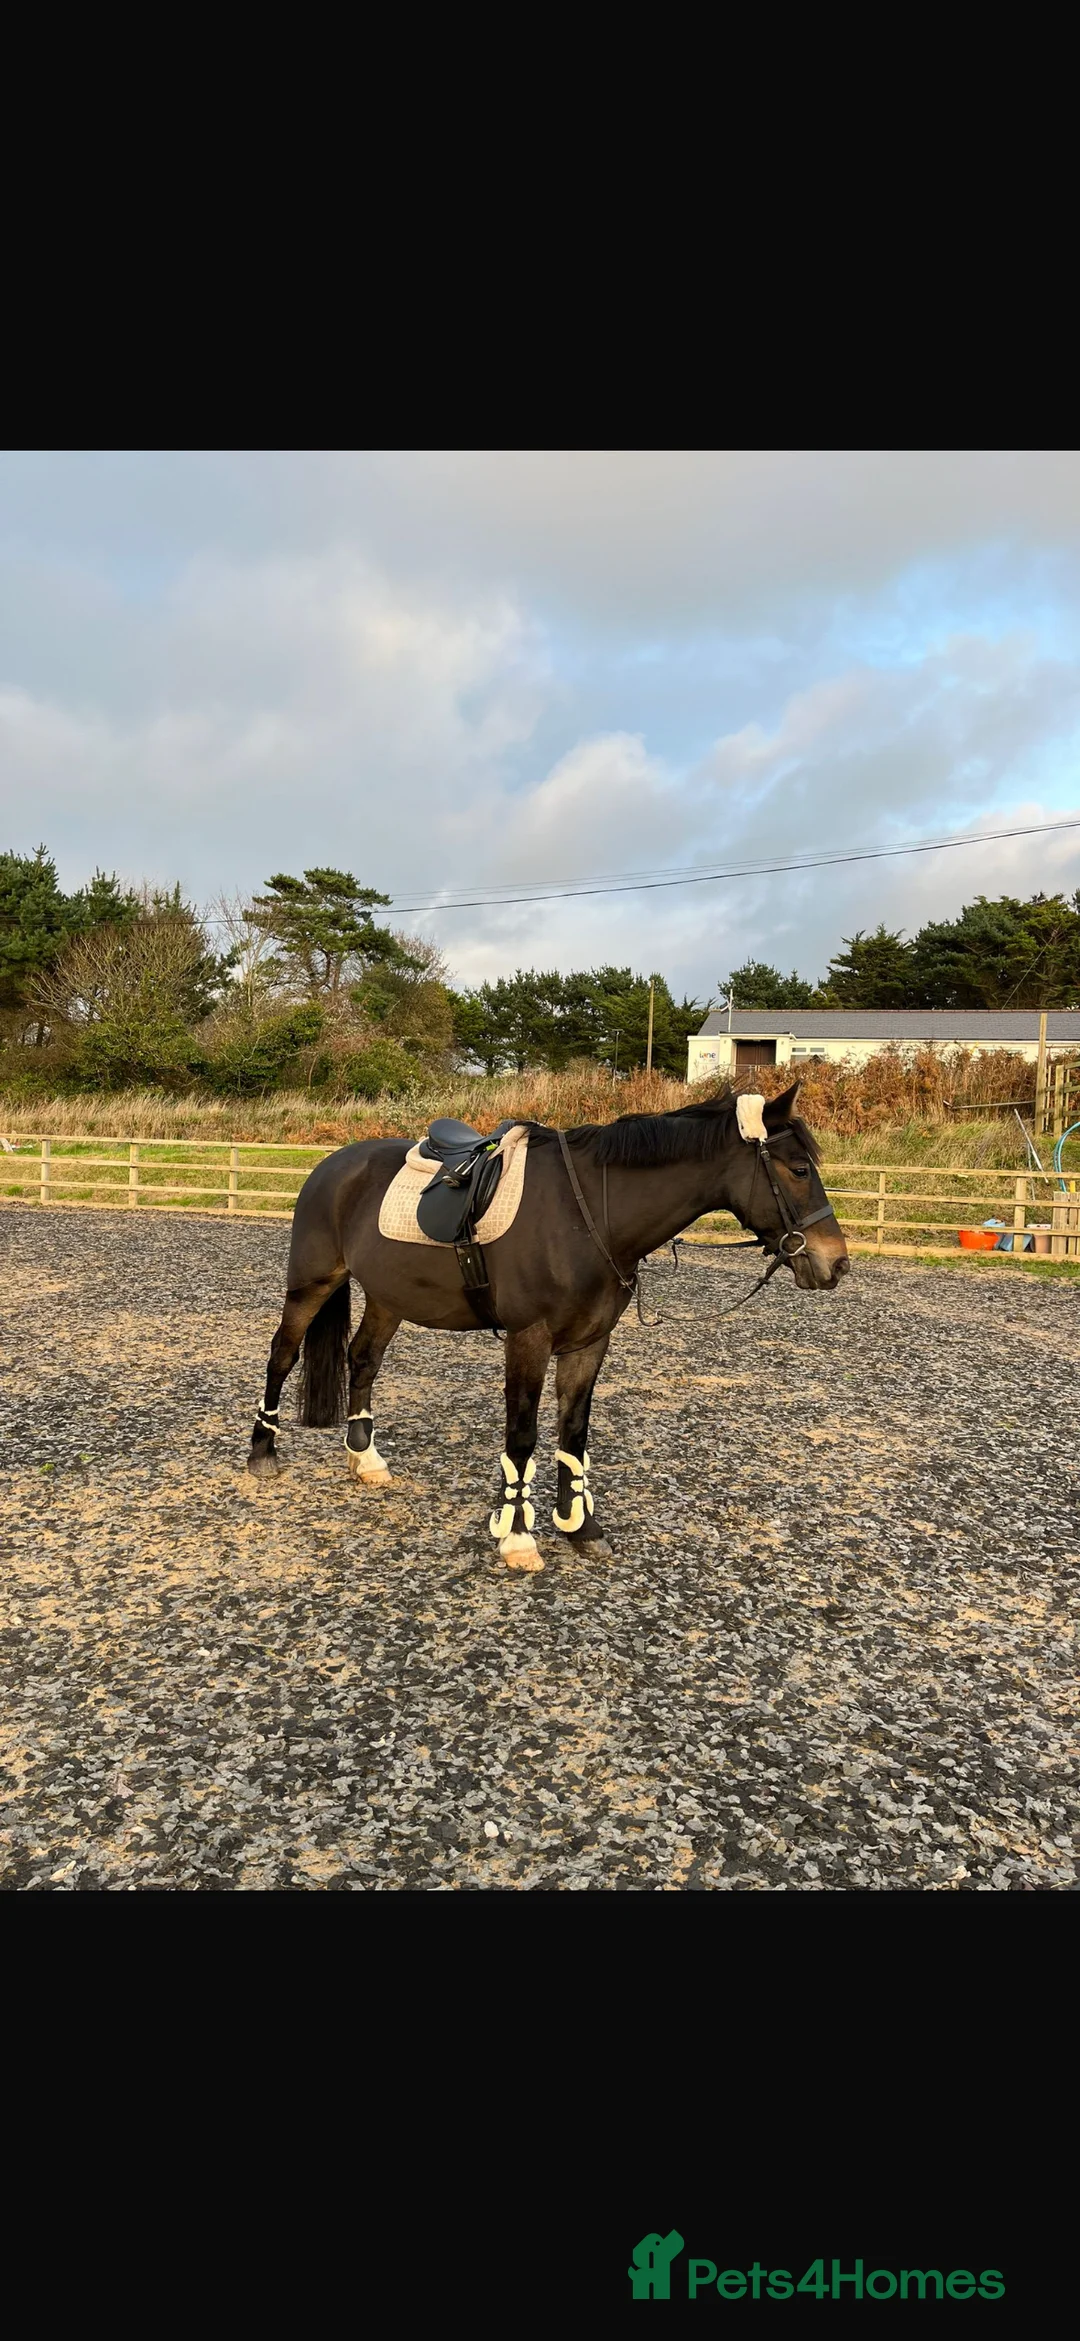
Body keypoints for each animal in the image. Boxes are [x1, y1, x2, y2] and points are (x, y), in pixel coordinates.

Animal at [245, 1083, 849, 1569]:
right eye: (799, 1170)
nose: (836, 1264)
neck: (590, 1217)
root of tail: (331, 1165)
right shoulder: (528, 1339)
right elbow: (522, 1437)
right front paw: (517, 1538)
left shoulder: (589, 1342)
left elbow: (574, 1434)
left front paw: (580, 1528)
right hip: (311, 1283)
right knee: (283, 1354)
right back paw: (262, 1454)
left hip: (388, 1296)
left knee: (363, 1358)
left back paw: (365, 1460)